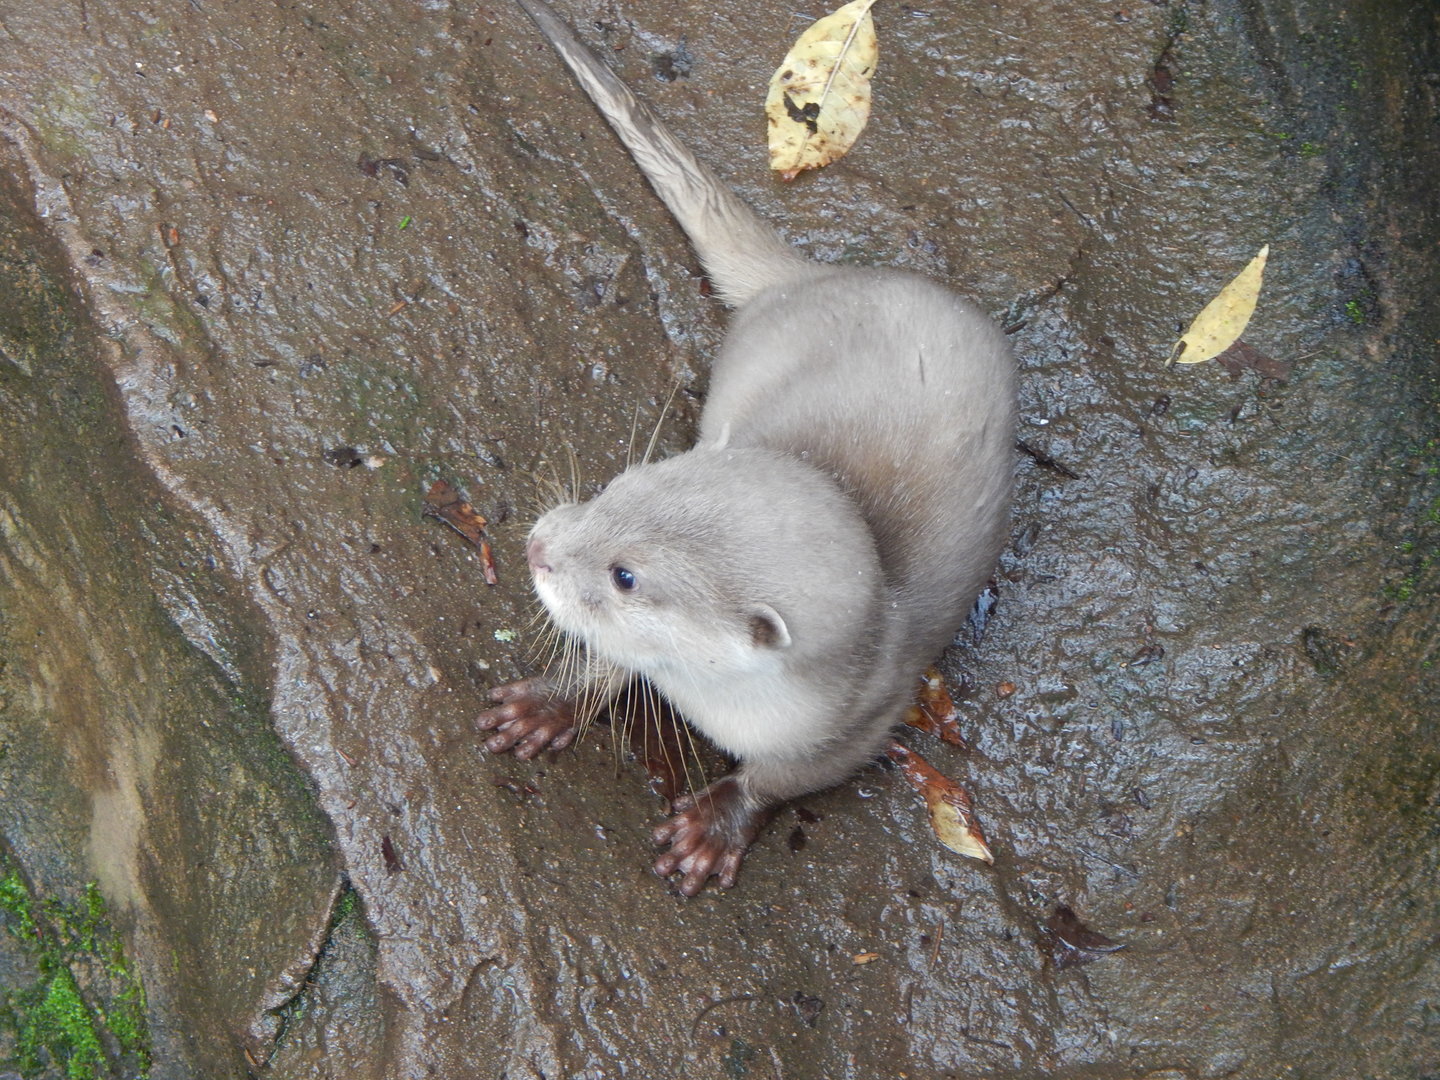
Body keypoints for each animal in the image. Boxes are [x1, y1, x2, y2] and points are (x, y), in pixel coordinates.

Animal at [478, 0, 1016, 895]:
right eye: (617, 485)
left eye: (626, 576)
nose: (537, 547)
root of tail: (811, 277)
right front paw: (550, 703)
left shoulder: (863, 718)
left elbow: (785, 778)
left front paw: (716, 825)